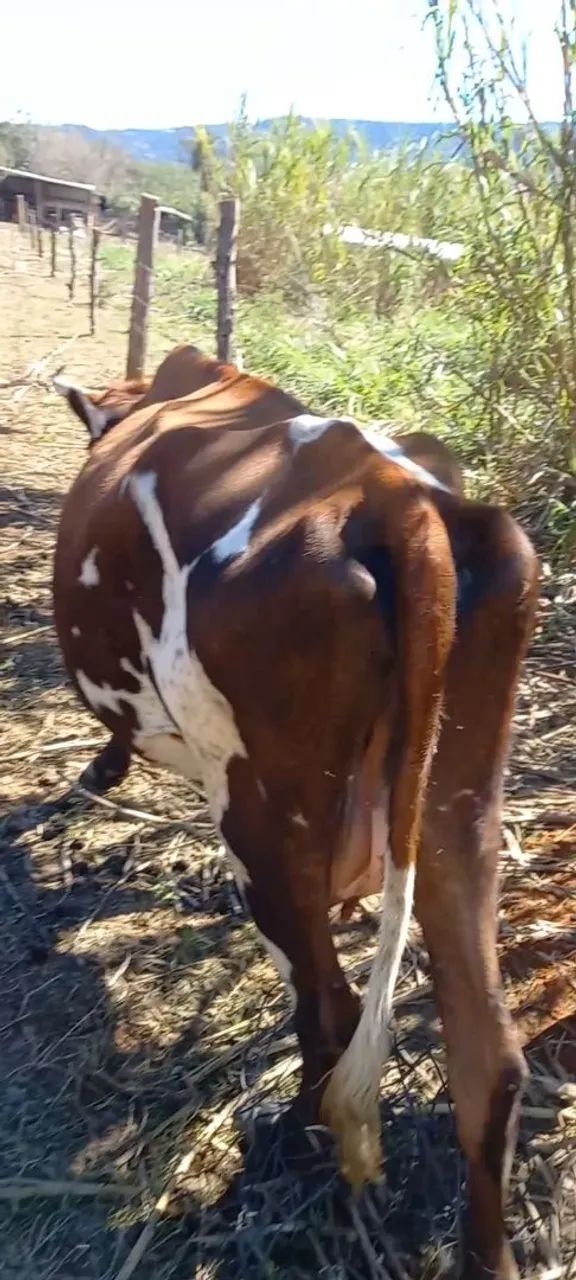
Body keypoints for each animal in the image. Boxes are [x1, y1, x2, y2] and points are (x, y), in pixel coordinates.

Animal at [53, 344, 538, 1279]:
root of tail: (400, 501)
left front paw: (102, 765)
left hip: (262, 815)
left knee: (329, 1011)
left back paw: (285, 1141)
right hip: (461, 807)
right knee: (487, 1059)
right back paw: (484, 1252)